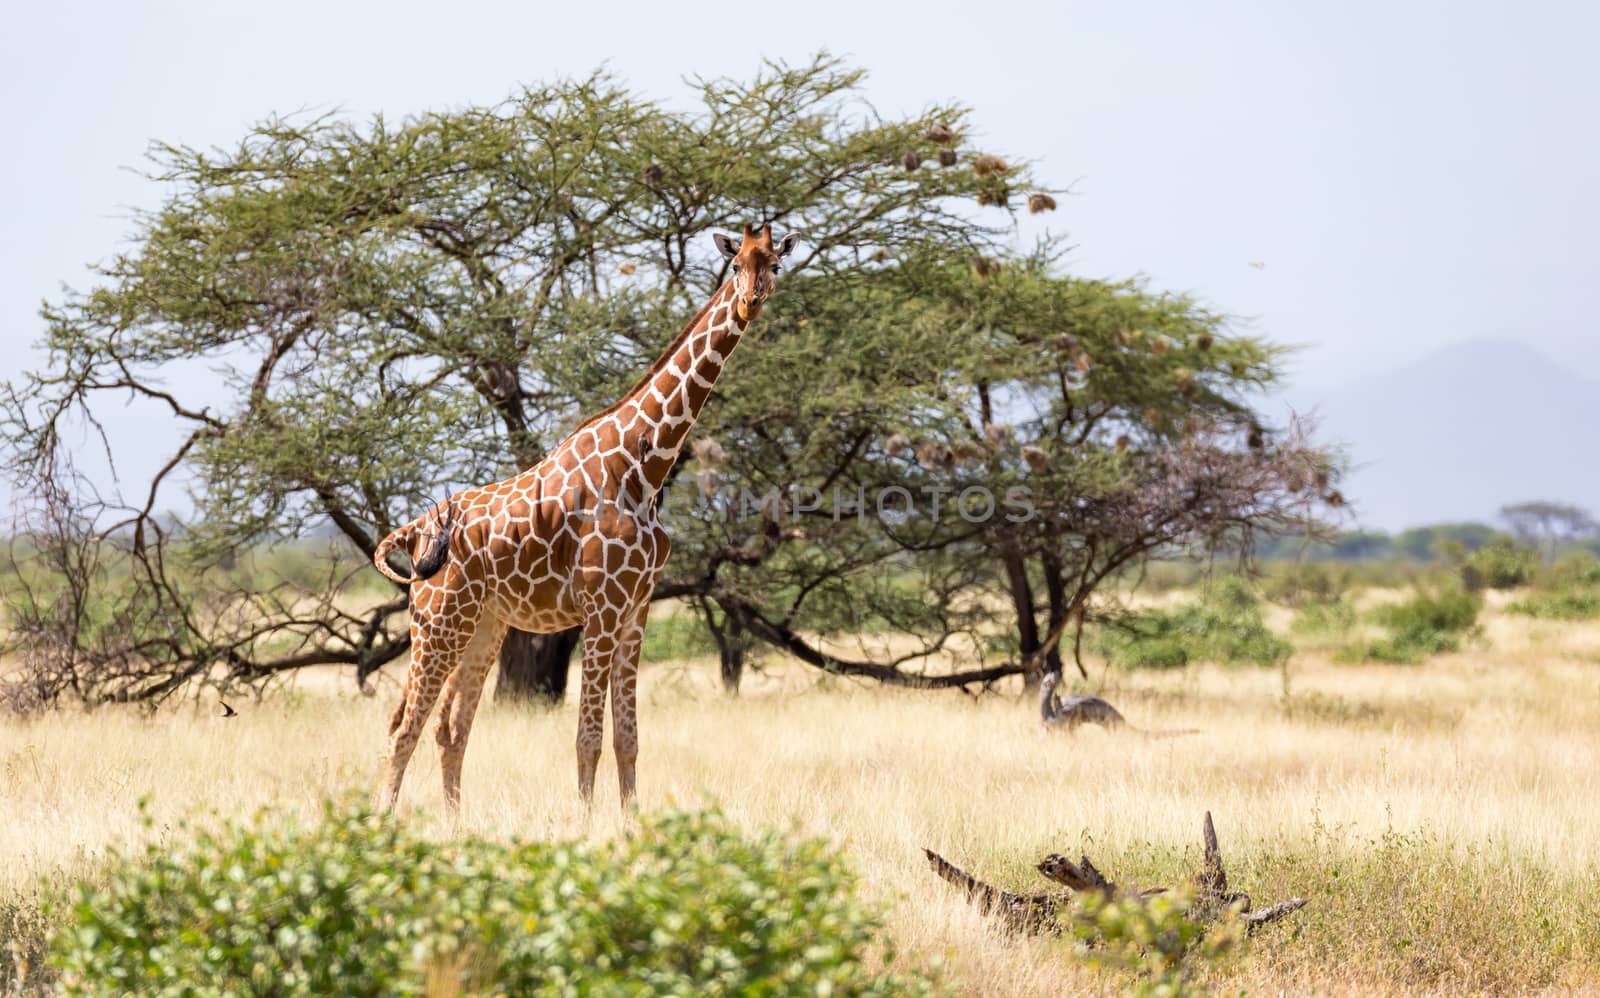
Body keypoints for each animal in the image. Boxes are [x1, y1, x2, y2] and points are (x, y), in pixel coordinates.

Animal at [371, 223, 800, 812]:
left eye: (774, 264)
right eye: (734, 264)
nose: (751, 301)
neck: (644, 467)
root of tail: (414, 531)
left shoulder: (636, 609)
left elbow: (628, 739)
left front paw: (633, 821)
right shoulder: (602, 607)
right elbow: (588, 738)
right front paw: (585, 823)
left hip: (483, 625)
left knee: (450, 728)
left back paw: (454, 823)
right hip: (436, 622)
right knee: (402, 729)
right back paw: (380, 823)